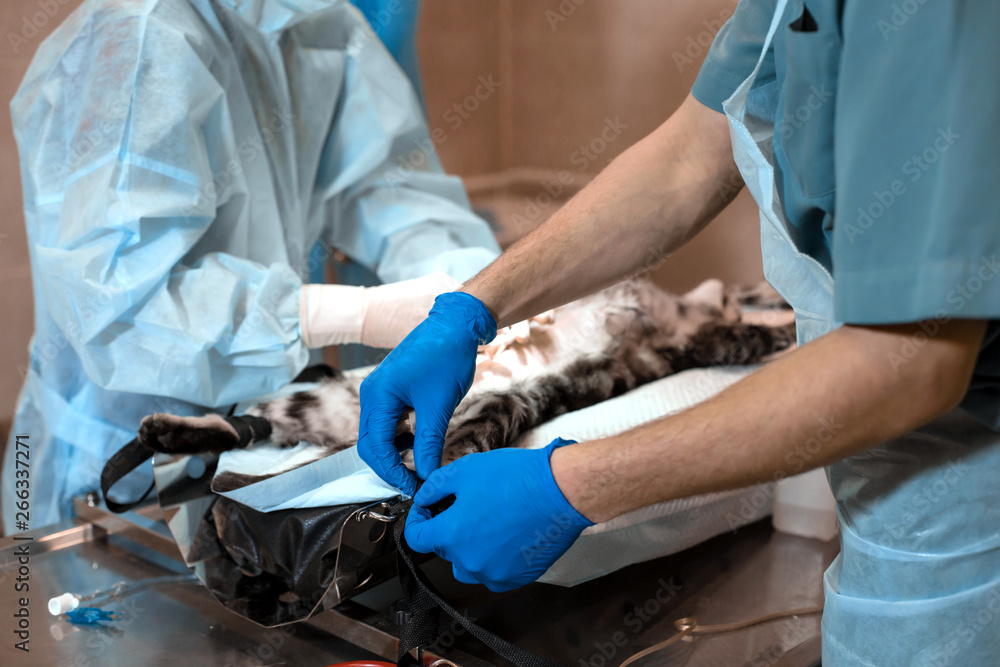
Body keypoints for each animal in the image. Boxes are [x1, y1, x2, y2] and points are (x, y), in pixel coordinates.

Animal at [139, 276, 796, 490]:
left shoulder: (691, 341)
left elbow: (746, 331)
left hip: (497, 406)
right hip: (322, 398)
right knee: (244, 424)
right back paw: (166, 431)